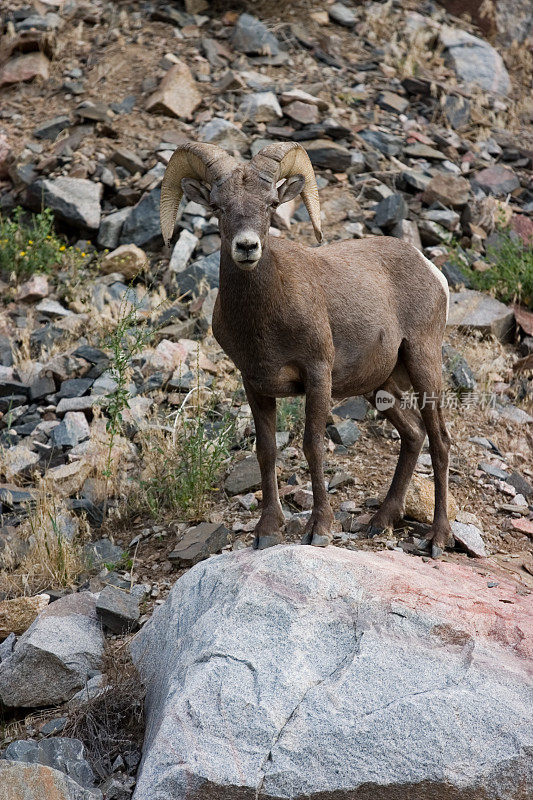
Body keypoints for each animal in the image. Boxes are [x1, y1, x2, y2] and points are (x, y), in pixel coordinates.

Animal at [161, 142, 448, 556]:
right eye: (218, 206)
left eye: (270, 205)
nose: (247, 246)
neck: (264, 319)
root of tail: (432, 271)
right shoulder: (255, 384)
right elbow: (266, 451)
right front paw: (267, 531)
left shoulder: (317, 375)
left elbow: (313, 446)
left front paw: (319, 530)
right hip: (380, 387)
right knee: (413, 435)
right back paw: (380, 522)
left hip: (424, 366)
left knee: (439, 442)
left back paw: (437, 539)